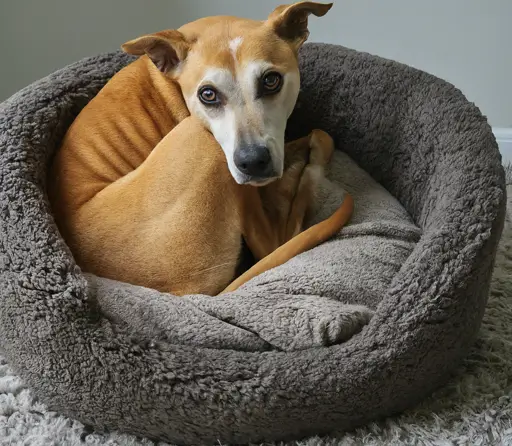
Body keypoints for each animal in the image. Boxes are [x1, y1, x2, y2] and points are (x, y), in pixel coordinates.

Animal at [48, 2, 354, 300]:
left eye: (271, 80)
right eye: (207, 94)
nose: (252, 162)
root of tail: (178, 295)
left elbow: (319, 134)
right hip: (203, 141)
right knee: (278, 243)